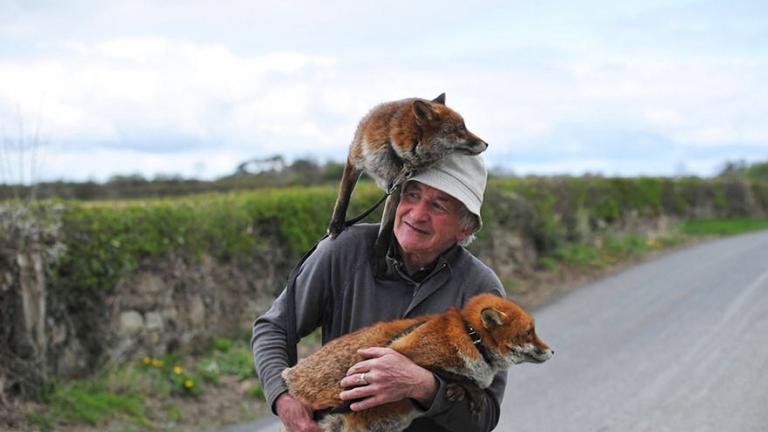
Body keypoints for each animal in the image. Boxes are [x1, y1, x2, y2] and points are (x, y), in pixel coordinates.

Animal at [282, 294, 552, 432]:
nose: (552, 351)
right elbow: (455, 377)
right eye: (529, 333)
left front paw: (457, 391)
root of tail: (289, 375)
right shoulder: (399, 354)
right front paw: (469, 392)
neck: (469, 337)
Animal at [328, 93, 488, 240]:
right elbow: (343, 197)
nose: (486, 144)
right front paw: (336, 224)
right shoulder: (354, 160)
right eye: (461, 128)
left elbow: (385, 230)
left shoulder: (396, 189)